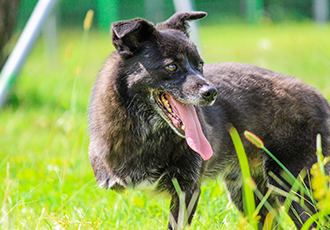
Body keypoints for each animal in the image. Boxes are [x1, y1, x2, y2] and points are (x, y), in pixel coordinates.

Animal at [89, 11, 330, 229]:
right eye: (171, 66)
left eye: (200, 65)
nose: (212, 92)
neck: (145, 133)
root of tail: (320, 98)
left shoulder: (187, 190)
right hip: (251, 197)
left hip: (297, 189)